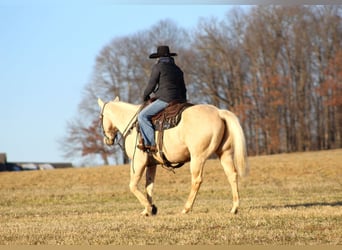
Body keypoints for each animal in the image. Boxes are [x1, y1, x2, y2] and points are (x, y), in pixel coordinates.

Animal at [97, 96, 247, 216]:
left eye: (100, 117)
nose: (107, 140)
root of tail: (218, 112)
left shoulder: (138, 162)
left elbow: (133, 186)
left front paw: (148, 207)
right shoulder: (151, 165)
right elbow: (149, 186)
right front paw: (149, 209)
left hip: (197, 157)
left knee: (197, 180)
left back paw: (186, 208)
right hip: (225, 154)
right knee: (232, 175)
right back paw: (234, 208)